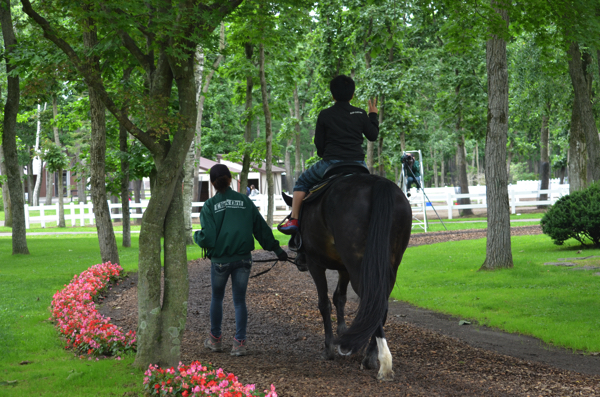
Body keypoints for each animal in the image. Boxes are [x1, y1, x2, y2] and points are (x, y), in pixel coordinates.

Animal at [284, 172, 410, 378]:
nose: (299, 261)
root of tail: (378, 183)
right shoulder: (344, 268)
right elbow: (339, 297)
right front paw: (343, 335)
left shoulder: (315, 264)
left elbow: (324, 303)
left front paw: (329, 348)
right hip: (386, 266)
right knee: (379, 305)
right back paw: (372, 355)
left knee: (371, 302)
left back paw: (382, 361)